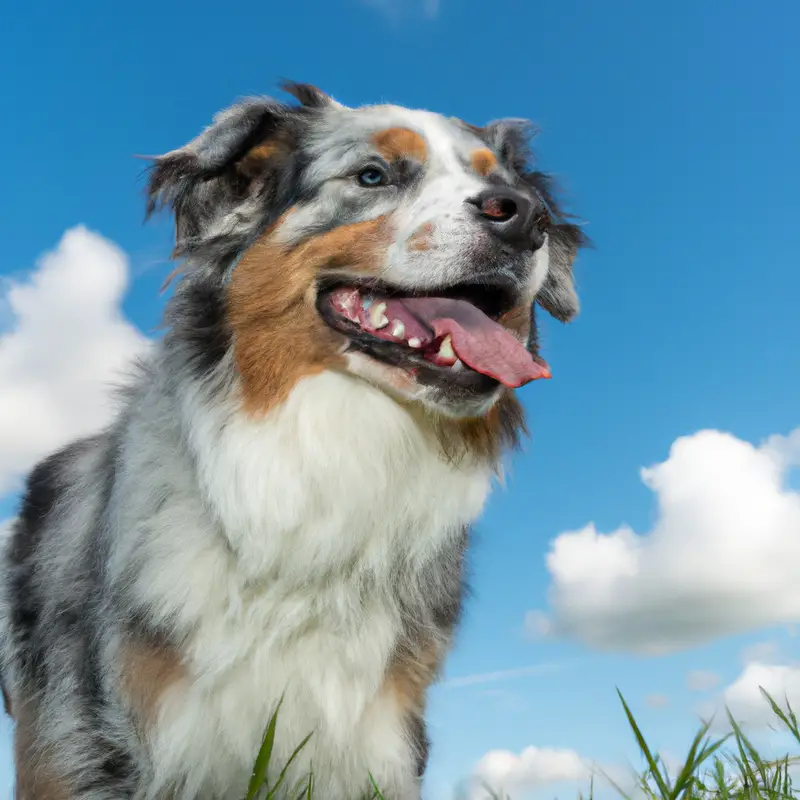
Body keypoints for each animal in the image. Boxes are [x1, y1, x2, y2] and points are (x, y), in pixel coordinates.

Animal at [0, 83, 588, 800]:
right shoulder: (126, 731)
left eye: (502, 182)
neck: (329, 449)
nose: (526, 216)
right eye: (372, 176)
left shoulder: (376, 732)